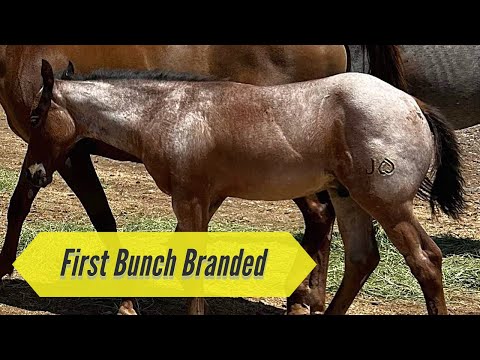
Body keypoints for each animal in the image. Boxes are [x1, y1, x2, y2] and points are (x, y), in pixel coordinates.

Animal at [22, 62, 464, 316]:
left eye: (35, 116)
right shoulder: (207, 198)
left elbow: (191, 263)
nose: (37, 174)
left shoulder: (190, 197)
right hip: (349, 197)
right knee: (362, 258)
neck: (169, 112)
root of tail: (412, 103)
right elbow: (174, 256)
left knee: (425, 259)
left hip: (385, 202)